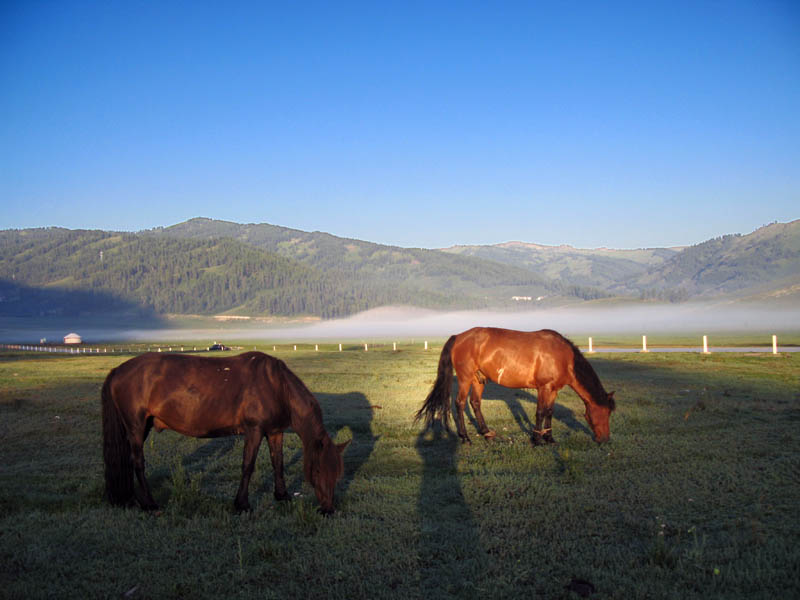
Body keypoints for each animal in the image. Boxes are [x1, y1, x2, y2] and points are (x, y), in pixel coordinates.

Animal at [101, 352, 348, 516]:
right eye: (318, 470)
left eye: (337, 473)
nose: (328, 509)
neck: (277, 386)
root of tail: (118, 371)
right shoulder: (254, 431)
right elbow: (248, 466)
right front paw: (242, 504)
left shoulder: (275, 432)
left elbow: (278, 463)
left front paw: (282, 495)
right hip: (136, 427)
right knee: (138, 463)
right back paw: (149, 503)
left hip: (141, 428)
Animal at [416, 328, 616, 446]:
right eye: (604, 412)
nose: (605, 439)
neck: (563, 357)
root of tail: (458, 337)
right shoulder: (544, 388)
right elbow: (540, 412)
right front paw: (537, 439)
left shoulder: (553, 390)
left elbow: (550, 412)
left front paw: (549, 438)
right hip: (465, 379)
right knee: (460, 404)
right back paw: (465, 437)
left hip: (478, 380)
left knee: (475, 403)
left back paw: (486, 432)